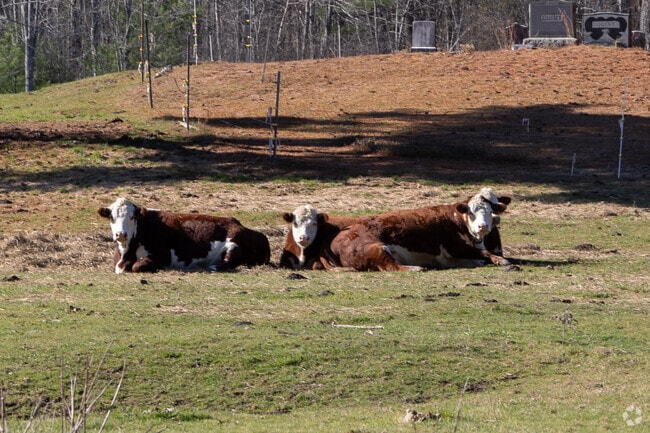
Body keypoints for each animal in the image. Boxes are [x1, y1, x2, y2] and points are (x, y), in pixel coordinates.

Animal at [98, 198, 270, 273]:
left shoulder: (162, 257)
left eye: (132, 217)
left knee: (228, 262)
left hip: (234, 245)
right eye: (112, 217)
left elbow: (137, 266)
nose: (121, 234)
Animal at [324, 188, 512, 271]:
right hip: (376, 248)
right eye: (471, 212)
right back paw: (415, 268)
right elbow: (485, 254)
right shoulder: (455, 247)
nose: (483, 226)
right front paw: (499, 260)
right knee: (391, 266)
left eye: (492, 209)